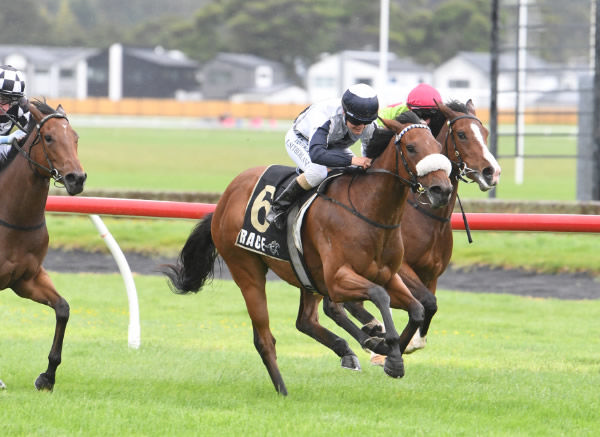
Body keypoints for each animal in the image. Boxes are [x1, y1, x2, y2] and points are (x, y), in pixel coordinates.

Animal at [0, 100, 86, 390]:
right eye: (48, 137)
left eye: (75, 138)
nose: (76, 178)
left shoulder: (26, 278)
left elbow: (63, 309)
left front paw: (47, 376)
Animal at [162, 111, 452, 396]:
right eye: (411, 147)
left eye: (438, 148)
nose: (442, 190)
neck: (368, 210)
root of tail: (223, 201)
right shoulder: (337, 279)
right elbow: (380, 296)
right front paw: (388, 350)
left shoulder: (389, 275)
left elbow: (417, 308)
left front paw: (392, 353)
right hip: (247, 271)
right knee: (264, 337)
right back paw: (283, 390)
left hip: (307, 275)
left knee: (306, 321)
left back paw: (348, 350)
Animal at [298, 99, 502, 368]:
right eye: (462, 134)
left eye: (486, 133)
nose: (492, 172)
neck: (426, 215)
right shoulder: (400, 268)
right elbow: (426, 302)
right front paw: (397, 347)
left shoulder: (431, 273)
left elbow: (429, 305)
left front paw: (408, 342)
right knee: (335, 305)